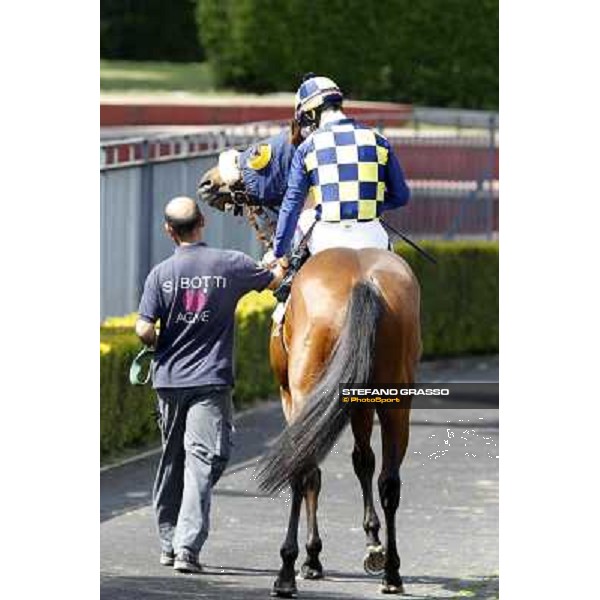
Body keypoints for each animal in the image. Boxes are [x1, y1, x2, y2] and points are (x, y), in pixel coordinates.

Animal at [198, 126, 422, 596]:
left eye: (257, 152)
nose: (207, 182)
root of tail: (362, 280)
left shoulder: (292, 393)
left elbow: (313, 469)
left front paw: (312, 557)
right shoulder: (357, 399)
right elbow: (363, 460)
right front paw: (372, 544)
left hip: (305, 389)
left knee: (302, 467)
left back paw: (287, 570)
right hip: (396, 396)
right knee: (390, 478)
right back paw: (392, 572)